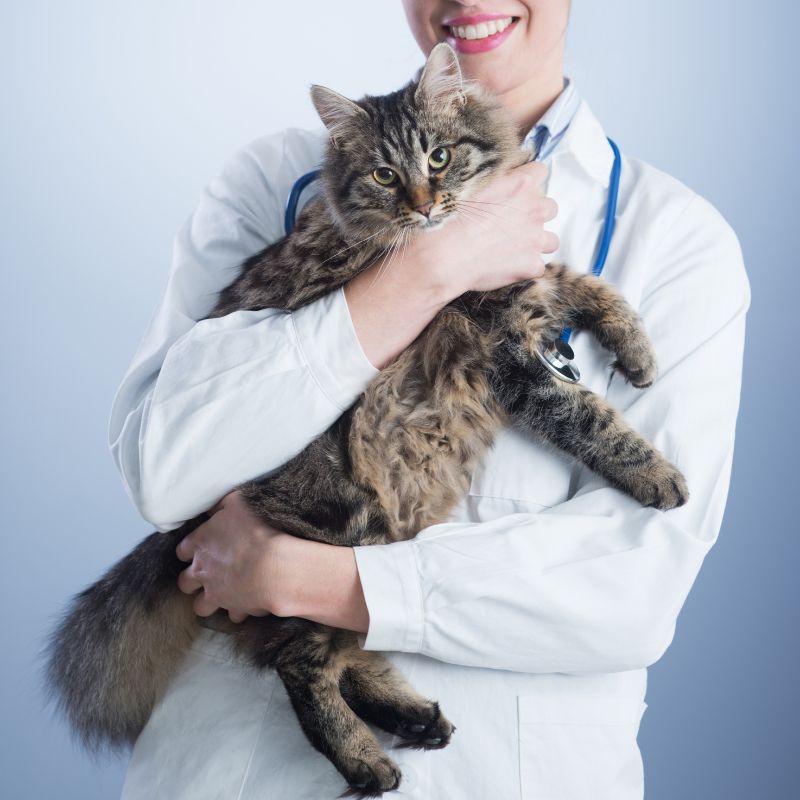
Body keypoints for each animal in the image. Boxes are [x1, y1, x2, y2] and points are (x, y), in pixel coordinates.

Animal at [48, 45, 688, 800]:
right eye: (386, 175)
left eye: (439, 157)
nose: (425, 205)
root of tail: (184, 528)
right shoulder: (507, 353)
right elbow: (591, 418)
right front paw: (660, 474)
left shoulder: (530, 291)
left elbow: (588, 285)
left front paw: (638, 350)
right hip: (345, 525)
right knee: (306, 663)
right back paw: (367, 758)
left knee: (345, 646)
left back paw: (416, 720)